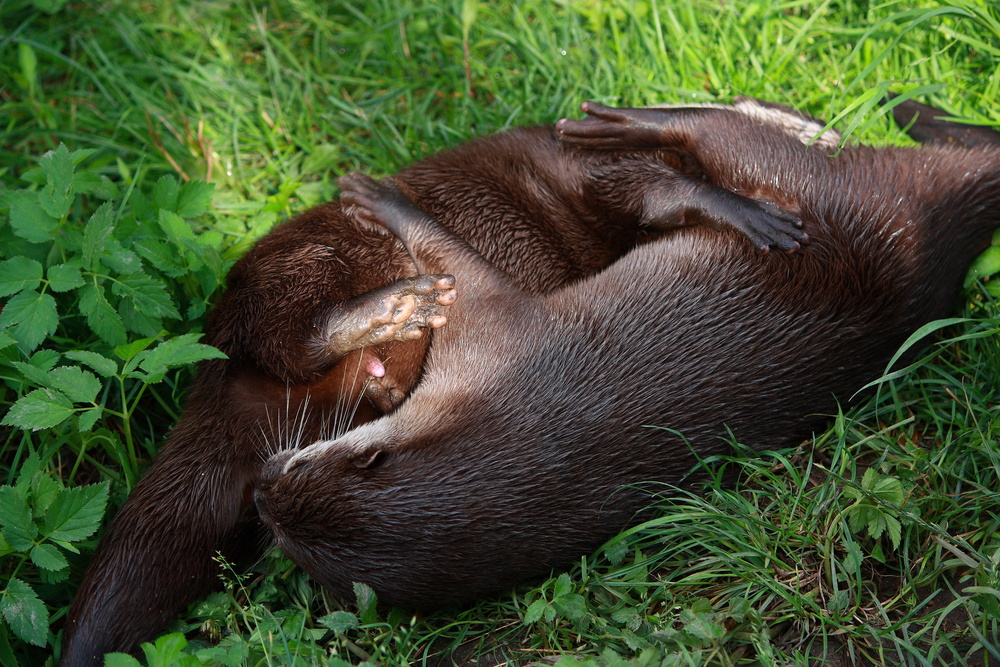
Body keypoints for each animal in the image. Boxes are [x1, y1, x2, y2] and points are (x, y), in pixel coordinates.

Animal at [252, 98, 1000, 612]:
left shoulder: (496, 333)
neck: (534, 423)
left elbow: (451, 258)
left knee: (721, 133)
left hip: (818, 193)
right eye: (284, 537)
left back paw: (618, 123)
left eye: (302, 467)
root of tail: (929, 232)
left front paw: (380, 198)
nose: (262, 482)